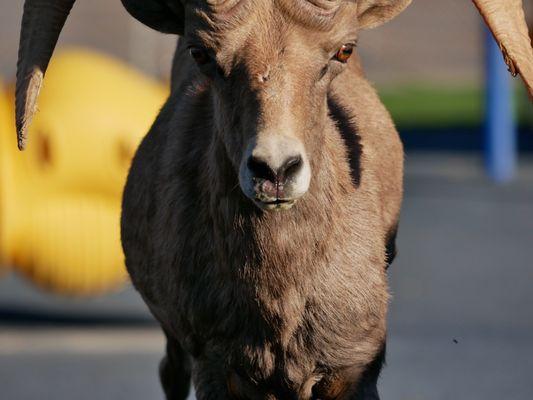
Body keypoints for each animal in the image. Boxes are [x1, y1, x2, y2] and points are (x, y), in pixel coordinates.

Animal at [13, 0, 532, 400]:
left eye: (343, 51)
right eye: (202, 54)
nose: (276, 171)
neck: (280, 296)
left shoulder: (349, 371)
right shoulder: (217, 368)